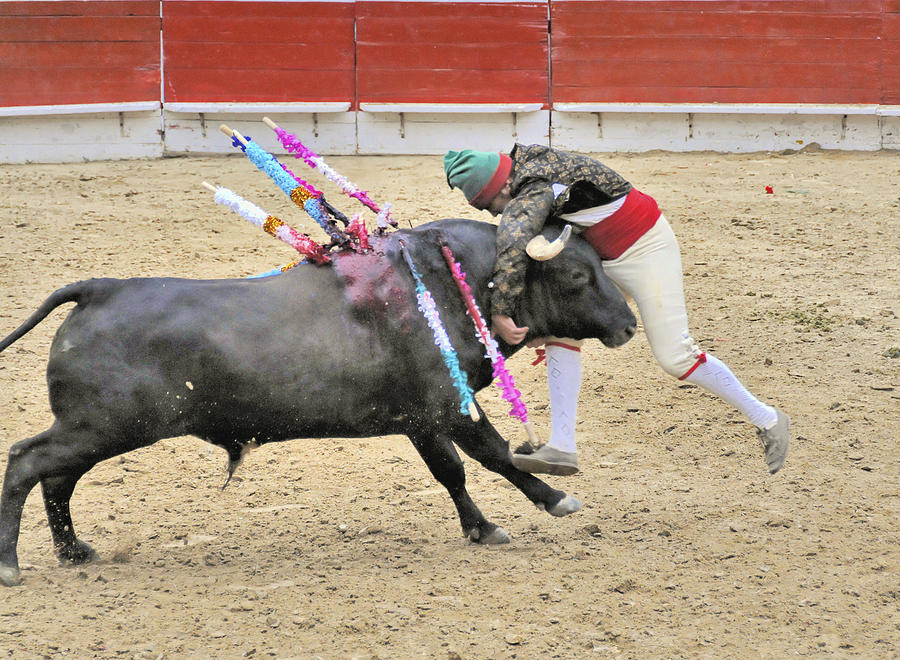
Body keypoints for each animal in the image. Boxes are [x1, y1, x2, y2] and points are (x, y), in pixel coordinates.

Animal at [0, 219, 632, 584]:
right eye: (578, 275)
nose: (628, 325)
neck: (448, 280)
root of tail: (99, 289)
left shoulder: (422, 420)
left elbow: (451, 471)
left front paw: (482, 528)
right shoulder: (447, 408)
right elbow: (493, 456)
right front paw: (553, 499)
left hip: (96, 429)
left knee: (57, 478)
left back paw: (74, 551)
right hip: (103, 426)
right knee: (28, 462)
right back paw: (11, 566)